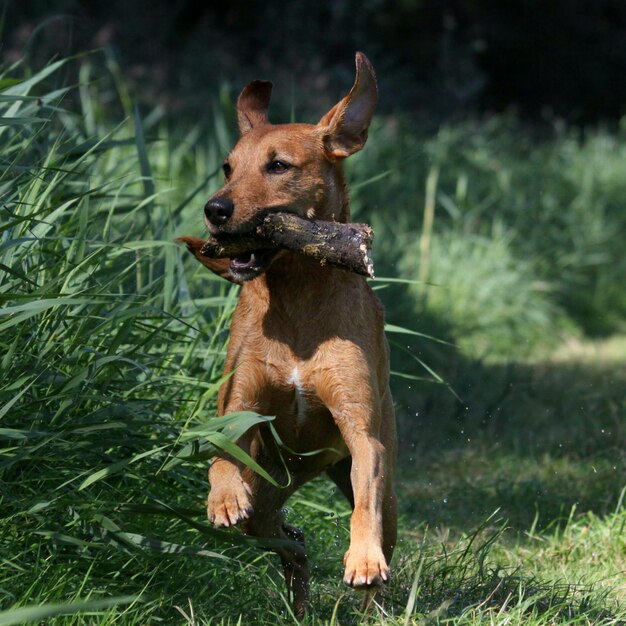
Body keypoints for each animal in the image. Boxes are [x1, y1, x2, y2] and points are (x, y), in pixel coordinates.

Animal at [200, 52, 394, 608]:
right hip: (267, 491)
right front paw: (223, 495)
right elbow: (221, 449)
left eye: (279, 165)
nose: (215, 210)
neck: (299, 301)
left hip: (381, 483)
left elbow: (365, 504)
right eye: (228, 167)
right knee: (285, 539)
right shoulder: (240, 399)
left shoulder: (362, 434)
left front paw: (363, 559)